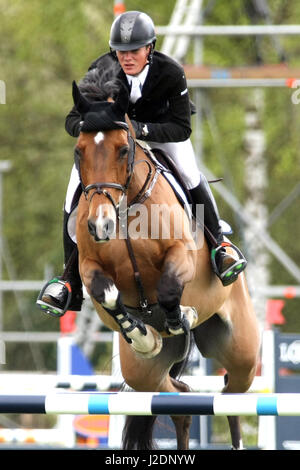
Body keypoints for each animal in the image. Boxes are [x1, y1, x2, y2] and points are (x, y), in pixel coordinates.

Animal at [71, 74, 260, 452]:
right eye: (79, 151)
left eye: (123, 149)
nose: (100, 225)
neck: (126, 208)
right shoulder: (89, 265)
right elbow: (107, 292)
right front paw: (143, 335)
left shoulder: (182, 255)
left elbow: (170, 287)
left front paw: (179, 316)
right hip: (143, 374)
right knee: (180, 399)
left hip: (242, 350)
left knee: (232, 397)